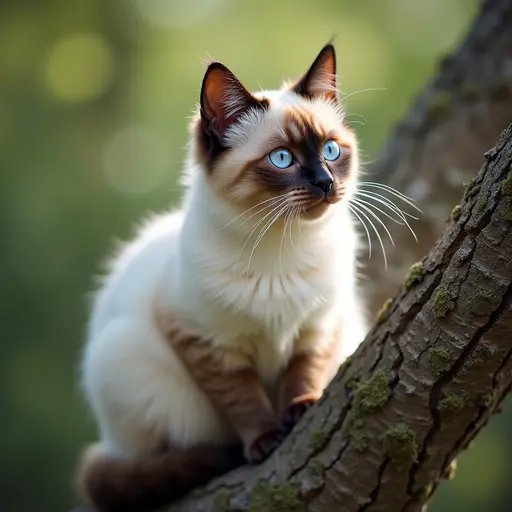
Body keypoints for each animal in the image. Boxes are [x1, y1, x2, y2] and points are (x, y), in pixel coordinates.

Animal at [76, 43, 368, 512]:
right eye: (282, 158)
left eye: (330, 151)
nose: (325, 183)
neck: (280, 249)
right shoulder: (206, 342)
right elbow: (244, 401)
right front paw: (265, 440)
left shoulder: (320, 326)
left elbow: (304, 373)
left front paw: (303, 408)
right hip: (124, 360)